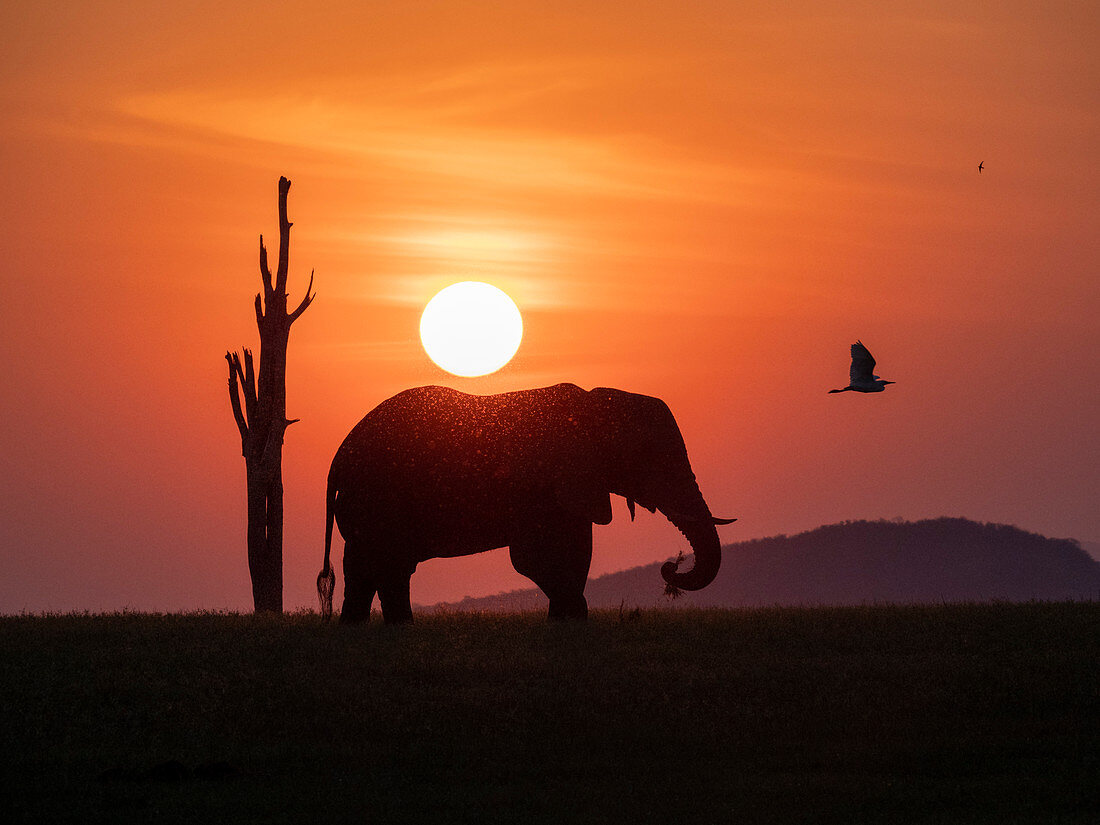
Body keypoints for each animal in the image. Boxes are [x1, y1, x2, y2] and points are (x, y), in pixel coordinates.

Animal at [314, 385, 734, 624]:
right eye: (650, 456)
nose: (670, 567)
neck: (592, 404)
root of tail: (338, 458)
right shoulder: (543, 483)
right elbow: (535, 559)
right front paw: (573, 620)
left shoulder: (572, 486)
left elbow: (575, 551)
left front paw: (566, 625)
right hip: (379, 499)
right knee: (389, 566)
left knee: (369, 569)